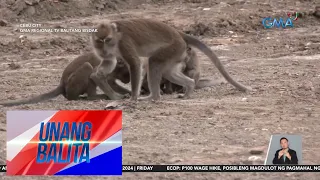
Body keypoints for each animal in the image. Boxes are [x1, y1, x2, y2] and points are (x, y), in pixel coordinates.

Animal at [90, 19, 252, 102]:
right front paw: (98, 74)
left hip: (173, 47)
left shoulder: (124, 43)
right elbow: (110, 61)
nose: (102, 50)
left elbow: (135, 63)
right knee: (167, 72)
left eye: (107, 40)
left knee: (153, 62)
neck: (116, 37)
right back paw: (189, 87)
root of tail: (178, 33)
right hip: (177, 52)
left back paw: (154, 97)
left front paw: (133, 98)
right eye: (99, 41)